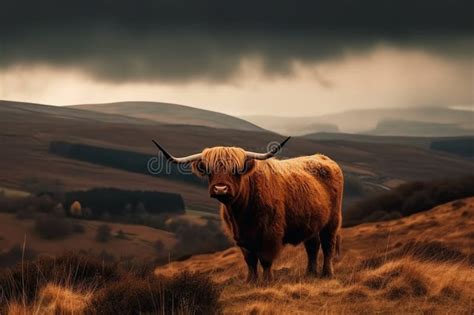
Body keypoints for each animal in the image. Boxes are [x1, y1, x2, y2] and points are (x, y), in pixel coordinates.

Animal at [154, 138, 342, 282]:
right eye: (209, 170)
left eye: (236, 171)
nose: (220, 189)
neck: (241, 213)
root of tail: (324, 158)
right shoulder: (240, 236)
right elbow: (250, 260)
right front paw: (251, 281)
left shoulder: (271, 233)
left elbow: (265, 259)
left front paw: (267, 281)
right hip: (311, 223)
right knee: (312, 246)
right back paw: (310, 273)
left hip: (332, 221)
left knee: (328, 245)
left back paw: (327, 274)